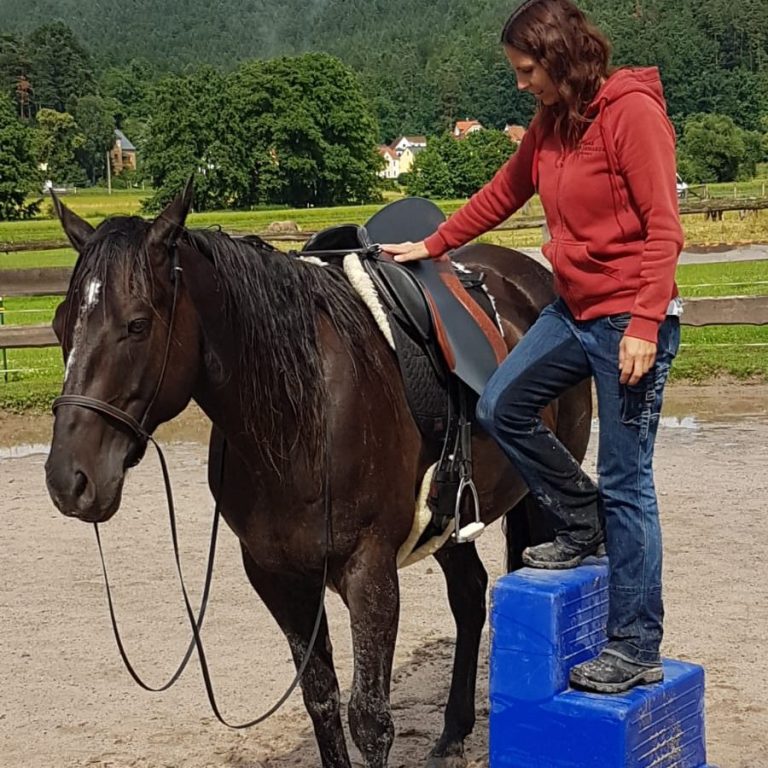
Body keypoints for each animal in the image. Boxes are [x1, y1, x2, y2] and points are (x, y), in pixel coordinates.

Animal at [44, 184, 591, 768]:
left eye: (138, 324)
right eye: (59, 322)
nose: (69, 478)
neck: (300, 419)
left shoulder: (370, 573)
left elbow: (369, 719)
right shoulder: (279, 578)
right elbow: (321, 700)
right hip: (448, 521)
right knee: (469, 596)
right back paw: (452, 734)